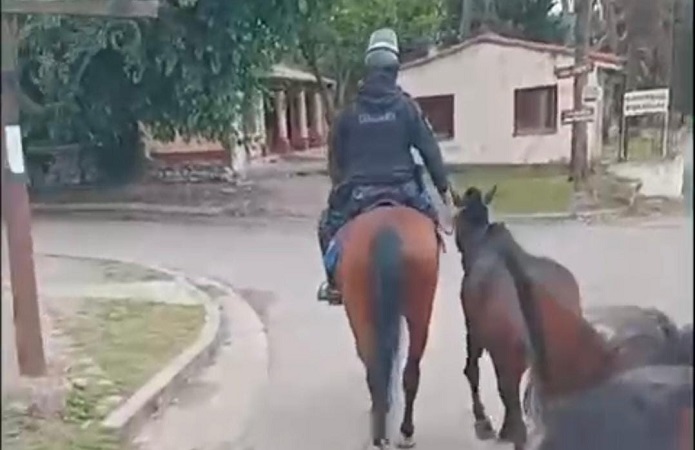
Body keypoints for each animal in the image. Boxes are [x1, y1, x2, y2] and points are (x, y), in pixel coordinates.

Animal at [335, 203, 440, 449]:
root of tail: (386, 228)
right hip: (419, 310)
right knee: (409, 373)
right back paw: (401, 432)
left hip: (360, 312)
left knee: (375, 367)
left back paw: (386, 430)